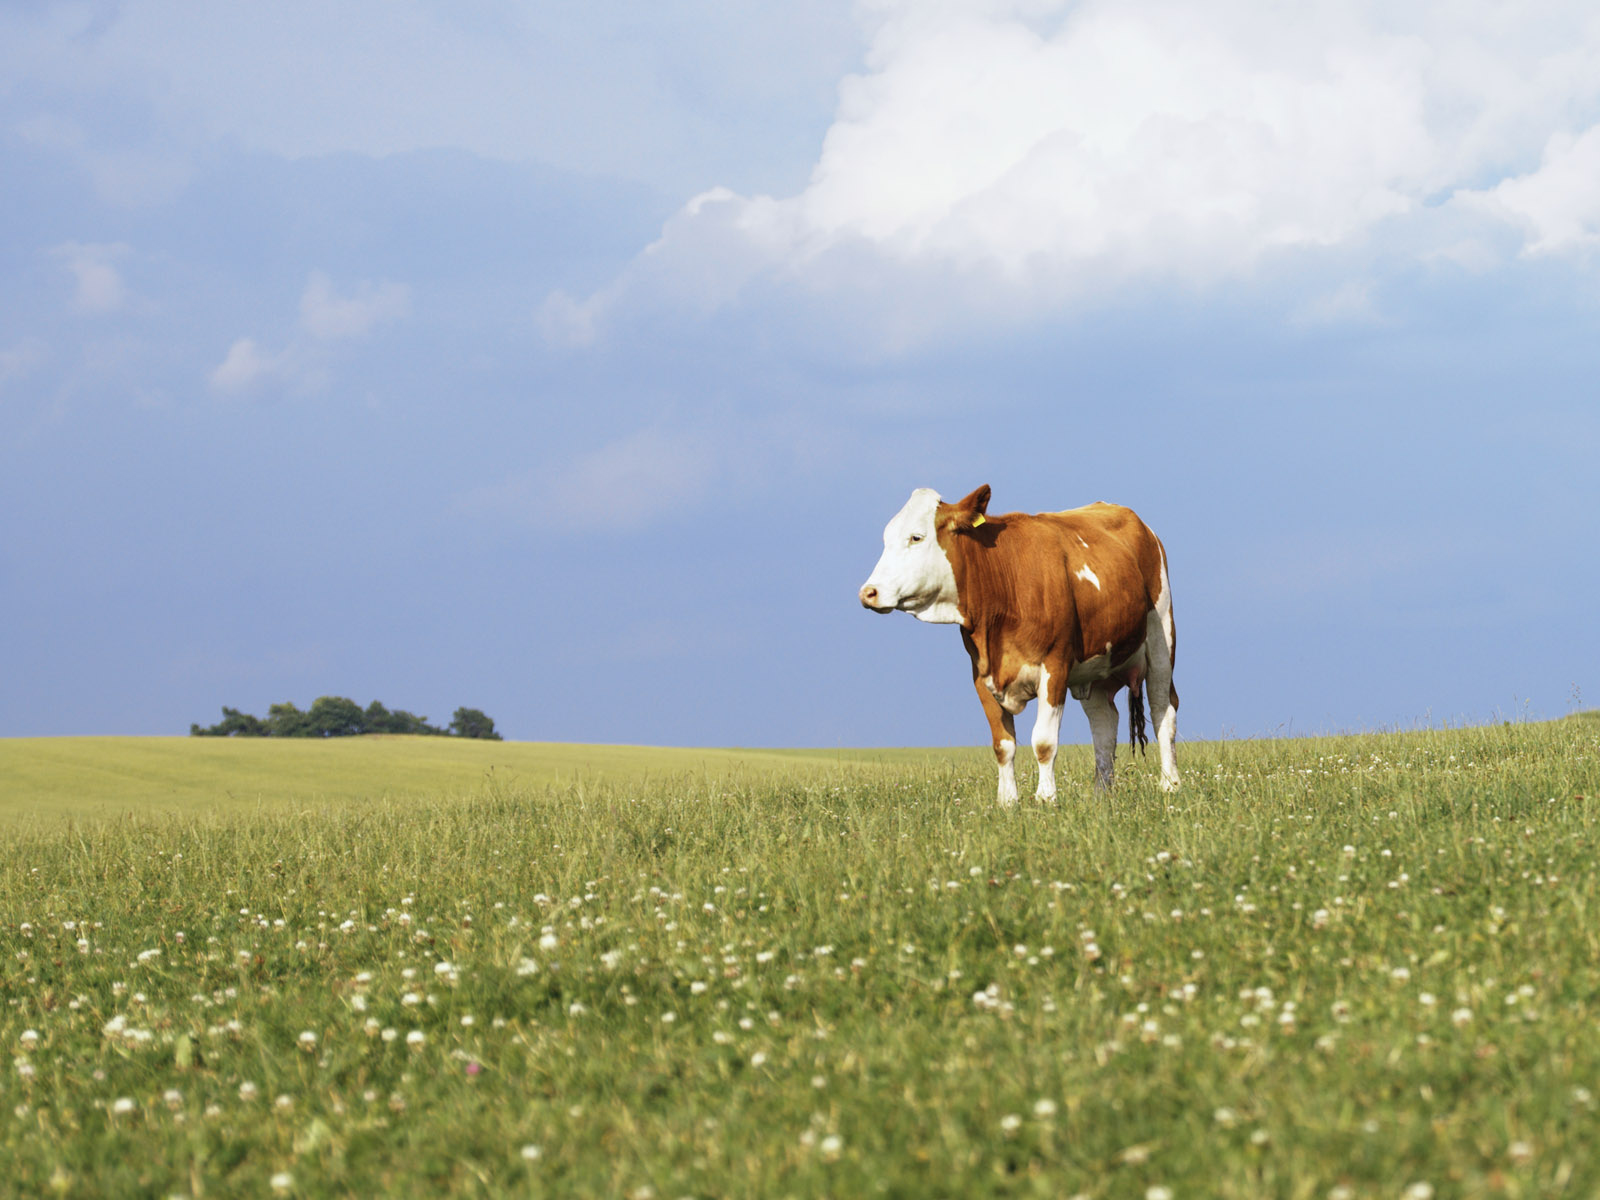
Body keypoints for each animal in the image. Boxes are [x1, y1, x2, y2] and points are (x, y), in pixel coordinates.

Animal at [858, 485, 1178, 804]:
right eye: (886, 538)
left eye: (916, 537)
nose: (868, 592)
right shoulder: (981, 675)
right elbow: (1003, 745)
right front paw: (1007, 802)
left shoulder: (1055, 666)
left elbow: (1044, 742)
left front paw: (1046, 798)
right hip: (1097, 667)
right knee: (1104, 725)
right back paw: (1101, 795)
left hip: (1161, 637)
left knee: (1163, 711)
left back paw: (1170, 785)